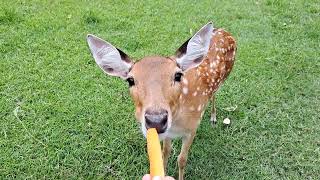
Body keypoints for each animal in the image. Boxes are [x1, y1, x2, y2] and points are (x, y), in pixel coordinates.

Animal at [86, 21, 236, 179]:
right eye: (130, 80)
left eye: (177, 75)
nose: (156, 120)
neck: (178, 123)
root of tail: (223, 30)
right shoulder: (168, 134)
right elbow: (165, 153)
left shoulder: (192, 129)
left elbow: (182, 159)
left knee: (214, 95)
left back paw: (213, 117)